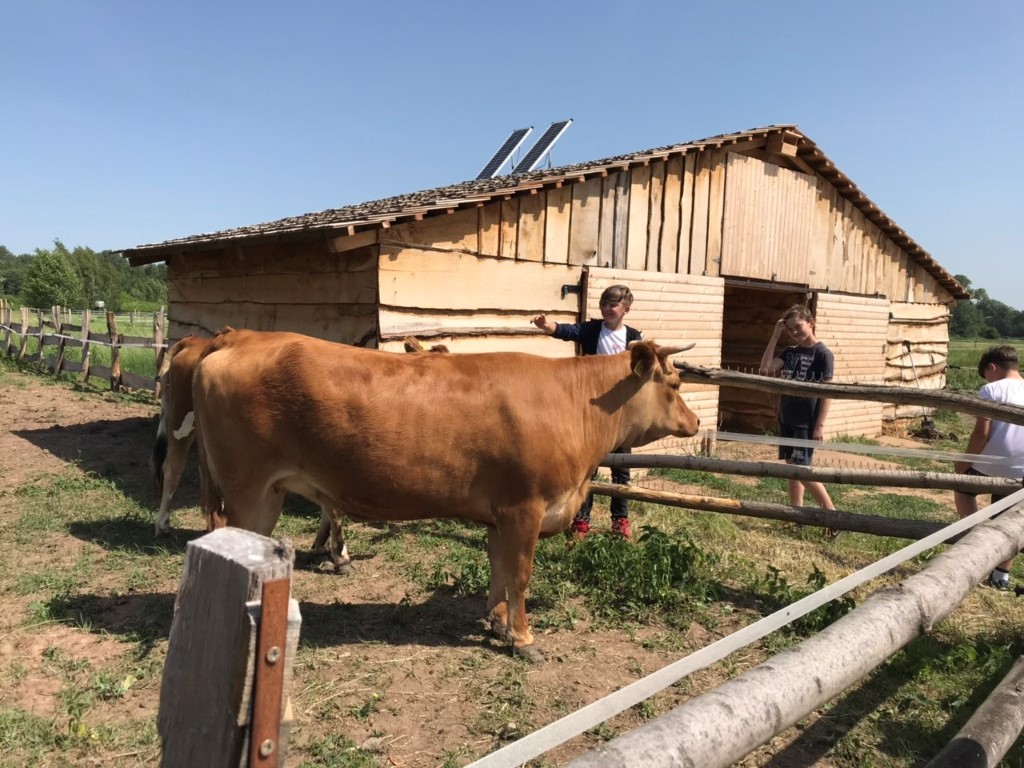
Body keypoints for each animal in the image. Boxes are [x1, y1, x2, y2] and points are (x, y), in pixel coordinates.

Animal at [192, 329, 700, 659]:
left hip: (267, 494)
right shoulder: (525, 508)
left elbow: (498, 570)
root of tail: (239, 338)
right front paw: (523, 639)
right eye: (674, 383)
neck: (573, 402)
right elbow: (520, 575)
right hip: (248, 490)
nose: (696, 422)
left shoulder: (500, 514)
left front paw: (496, 622)